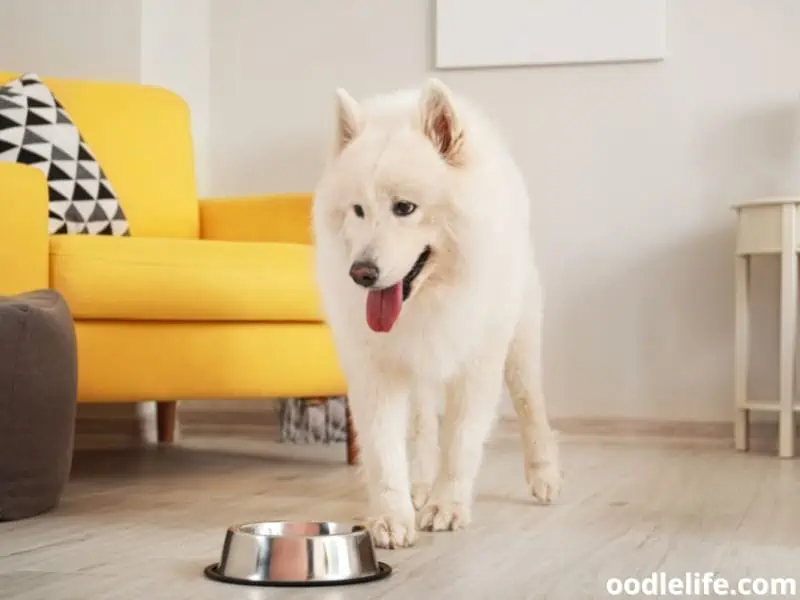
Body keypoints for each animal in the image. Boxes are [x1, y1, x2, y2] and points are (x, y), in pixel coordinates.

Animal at [312, 78, 564, 548]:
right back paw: (421, 483)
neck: (428, 300)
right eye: (358, 210)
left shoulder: (477, 364)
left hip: (520, 341)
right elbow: (384, 450)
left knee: (530, 403)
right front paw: (392, 517)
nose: (361, 273)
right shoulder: (376, 367)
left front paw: (447, 506)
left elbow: (461, 442)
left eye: (405, 208)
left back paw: (545, 475)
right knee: (423, 424)